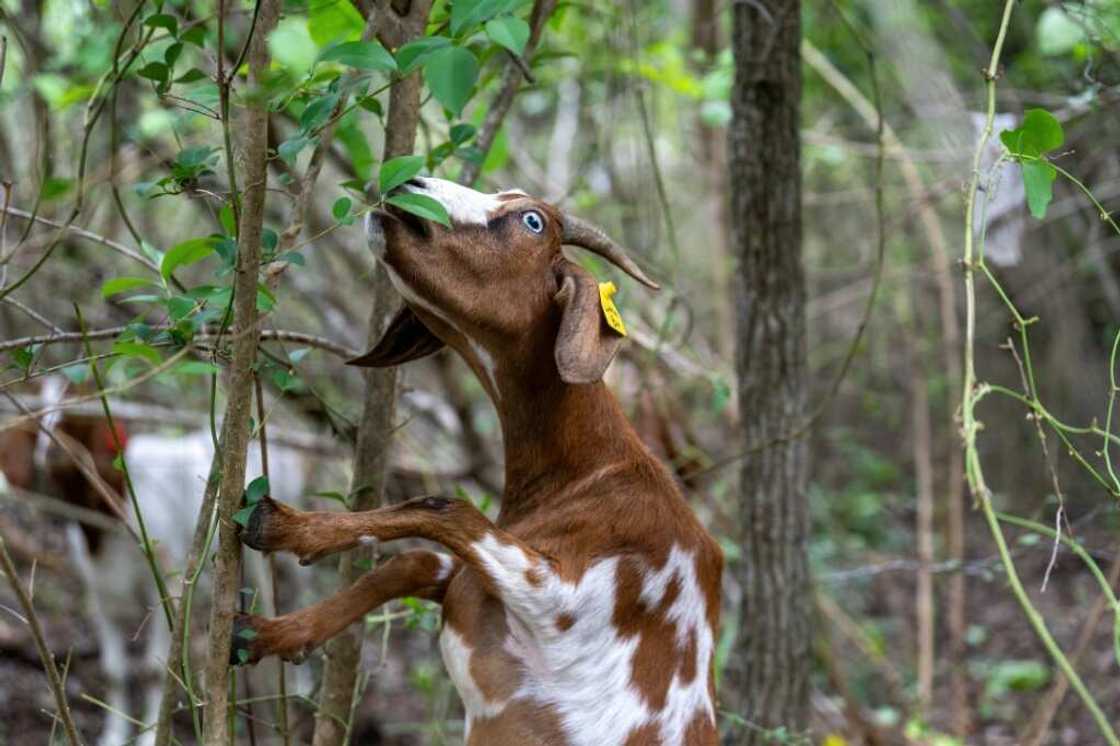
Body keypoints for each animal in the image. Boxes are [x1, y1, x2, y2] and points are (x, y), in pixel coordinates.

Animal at [236, 175, 725, 743]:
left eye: (533, 221)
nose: (410, 182)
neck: (593, 472)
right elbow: (413, 561)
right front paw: (269, 634)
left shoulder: (561, 599)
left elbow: (446, 508)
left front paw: (283, 527)